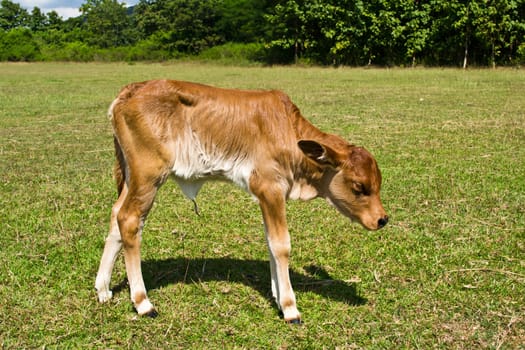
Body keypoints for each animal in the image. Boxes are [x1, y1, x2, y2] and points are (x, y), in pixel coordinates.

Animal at [95, 79, 388, 322]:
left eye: (378, 183)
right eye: (359, 186)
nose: (382, 219)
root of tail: (130, 90)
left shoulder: (267, 198)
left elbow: (270, 242)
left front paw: (278, 297)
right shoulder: (270, 188)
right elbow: (281, 245)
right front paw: (290, 307)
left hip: (132, 178)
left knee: (116, 216)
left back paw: (103, 289)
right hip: (148, 176)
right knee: (129, 220)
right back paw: (142, 302)